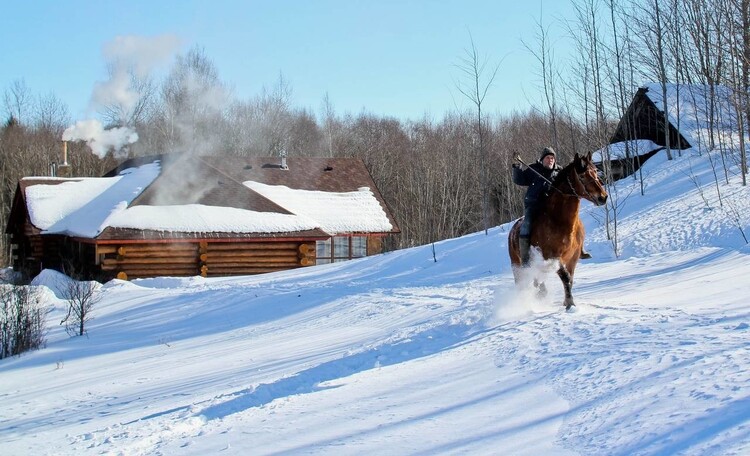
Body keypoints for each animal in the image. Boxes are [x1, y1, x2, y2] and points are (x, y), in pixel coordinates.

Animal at [512, 151, 612, 310]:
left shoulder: (573, 257)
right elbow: (565, 276)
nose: (603, 197)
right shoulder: (552, 257)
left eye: (595, 171)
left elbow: (570, 279)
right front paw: (570, 304)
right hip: (517, 265)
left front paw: (567, 301)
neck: (559, 221)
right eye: (582, 176)